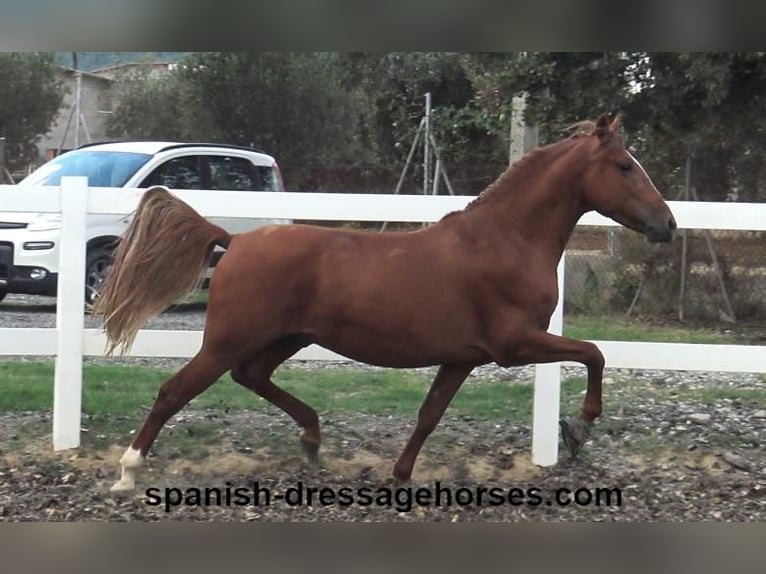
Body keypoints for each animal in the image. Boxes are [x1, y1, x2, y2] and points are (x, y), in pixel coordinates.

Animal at [97, 115, 680, 492]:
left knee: (252, 377)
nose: (668, 225)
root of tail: (234, 240)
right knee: (175, 391)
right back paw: (128, 472)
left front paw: (400, 476)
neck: (505, 240)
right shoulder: (515, 345)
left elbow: (429, 415)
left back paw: (312, 440)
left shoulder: (462, 358)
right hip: (228, 340)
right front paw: (579, 427)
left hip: (288, 338)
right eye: (624, 166)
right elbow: (594, 353)